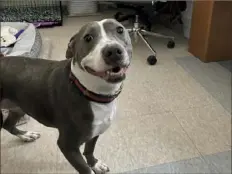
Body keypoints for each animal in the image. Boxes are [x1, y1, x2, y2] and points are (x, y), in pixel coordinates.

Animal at [0, 19, 132, 174]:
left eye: (120, 30)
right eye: (88, 38)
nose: (113, 51)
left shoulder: (95, 132)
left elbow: (89, 150)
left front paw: (95, 164)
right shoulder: (68, 146)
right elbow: (85, 169)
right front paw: (90, 167)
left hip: (19, 107)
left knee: (8, 125)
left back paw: (26, 135)